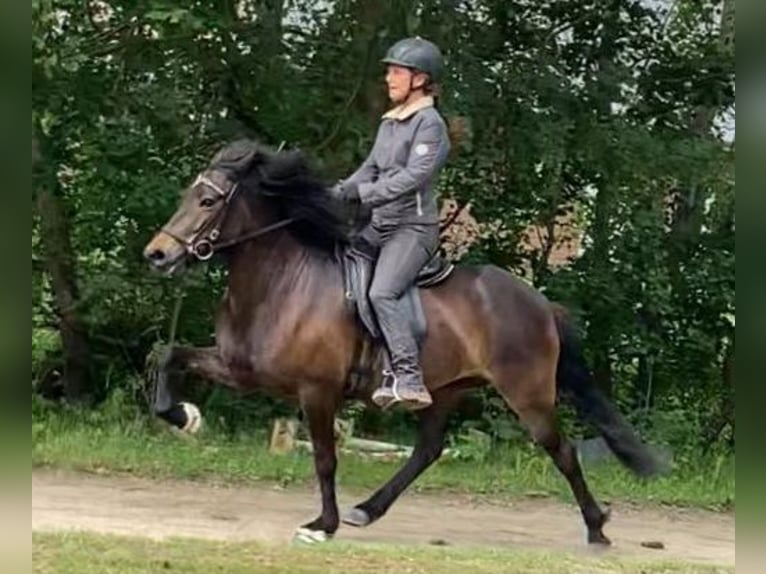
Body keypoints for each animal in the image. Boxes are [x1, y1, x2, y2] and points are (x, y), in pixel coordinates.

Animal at [142, 139, 662, 545]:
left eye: (208, 203)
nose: (158, 255)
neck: (282, 281)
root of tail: (540, 304)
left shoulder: (317, 391)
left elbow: (325, 459)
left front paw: (322, 524)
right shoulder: (240, 368)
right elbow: (169, 356)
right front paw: (184, 416)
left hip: (528, 396)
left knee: (563, 450)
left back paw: (597, 528)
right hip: (445, 390)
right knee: (427, 451)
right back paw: (367, 510)